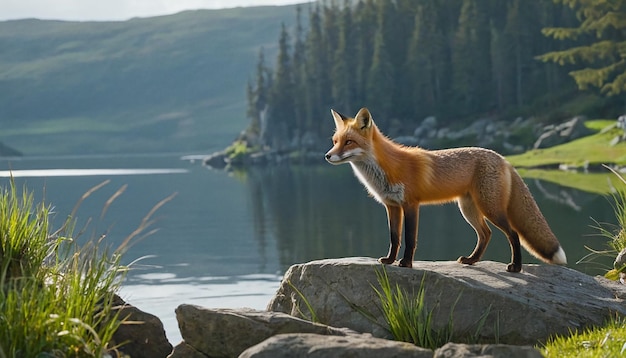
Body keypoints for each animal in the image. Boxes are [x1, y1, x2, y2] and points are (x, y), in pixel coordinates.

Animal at [326, 107, 564, 272]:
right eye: (335, 141)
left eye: (349, 142)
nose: (327, 156)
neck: (387, 169)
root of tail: (503, 158)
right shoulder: (391, 206)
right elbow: (395, 238)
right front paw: (390, 260)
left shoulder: (411, 205)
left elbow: (410, 239)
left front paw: (406, 263)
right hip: (468, 209)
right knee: (486, 234)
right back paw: (471, 260)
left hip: (491, 209)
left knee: (513, 234)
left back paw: (516, 267)